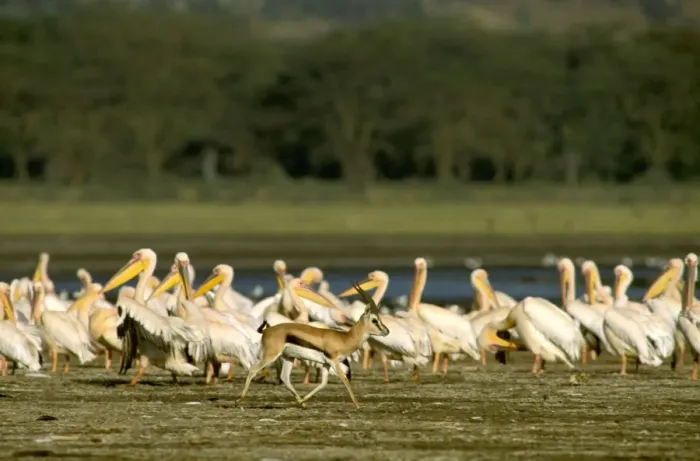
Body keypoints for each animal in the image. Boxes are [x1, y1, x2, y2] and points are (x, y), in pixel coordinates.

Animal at [236, 283, 390, 409]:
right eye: (374, 320)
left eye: (380, 318)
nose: (387, 331)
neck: (345, 338)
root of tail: (267, 330)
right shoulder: (333, 361)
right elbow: (344, 379)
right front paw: (357, 405)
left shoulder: (326, 364)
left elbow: (323, 383)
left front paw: (303, 401)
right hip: (271, 356)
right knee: (253, 369)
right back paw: (239, 399)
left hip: (288, 357)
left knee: (285, 377)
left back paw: (301, 403)